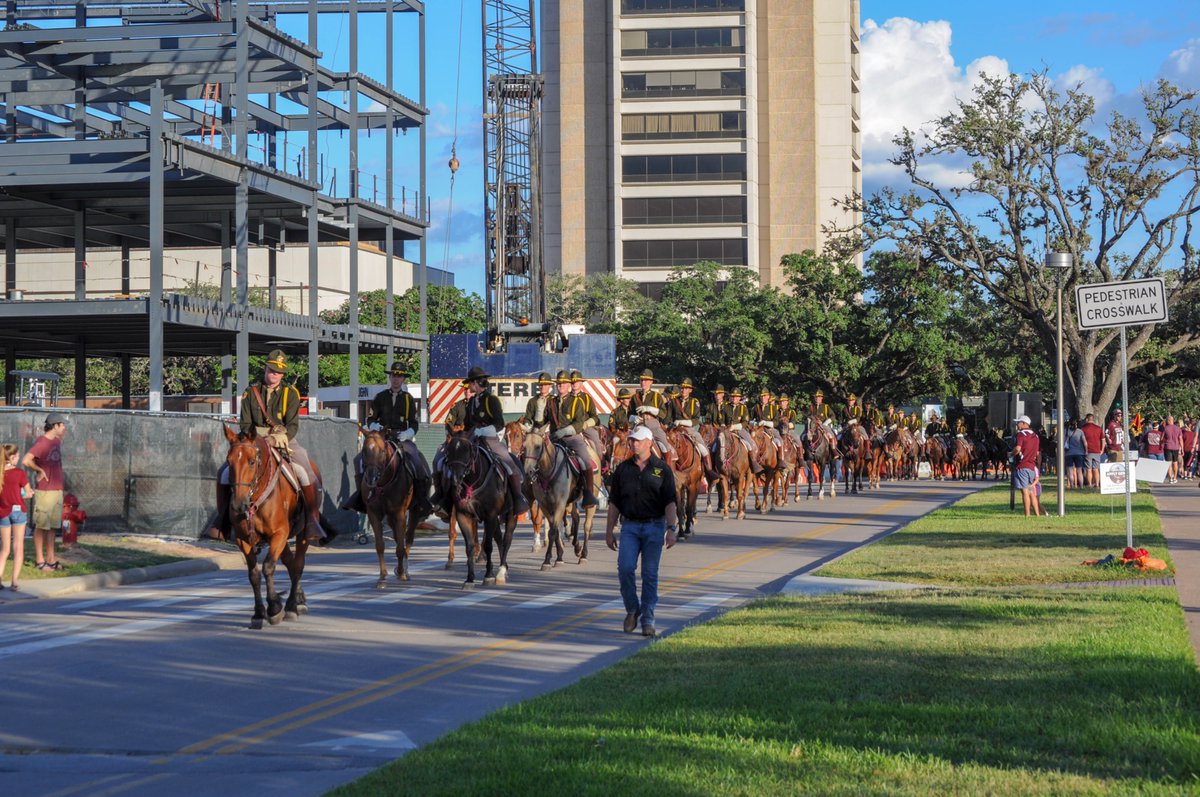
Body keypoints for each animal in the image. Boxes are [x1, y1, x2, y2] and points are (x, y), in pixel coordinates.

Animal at [220, 427, 312, 624]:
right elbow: (253, 574)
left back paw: (292, 605)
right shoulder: (243, 540)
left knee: (298, 564)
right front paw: (259, 612)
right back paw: (297, 598)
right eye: (229, 461)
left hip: (302, 534)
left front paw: (275, 607)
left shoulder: (280, 533)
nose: (238, 504)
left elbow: (268, 566)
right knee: (291, 563)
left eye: (252, 461)